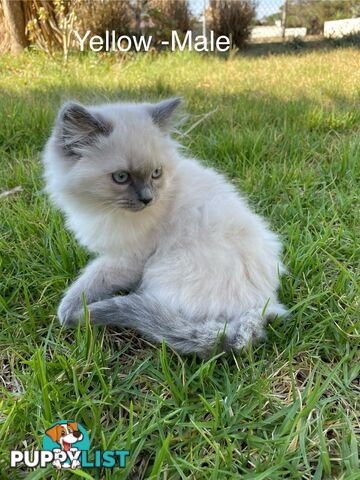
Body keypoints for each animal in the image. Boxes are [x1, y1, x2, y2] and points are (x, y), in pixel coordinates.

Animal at [42, 97, 286, 356]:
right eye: (121, 177)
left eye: (156, 173)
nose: (148, 199)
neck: (105, 210)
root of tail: (259, 311)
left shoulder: (125, 260)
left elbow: (87, 283)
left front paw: (68, 312)